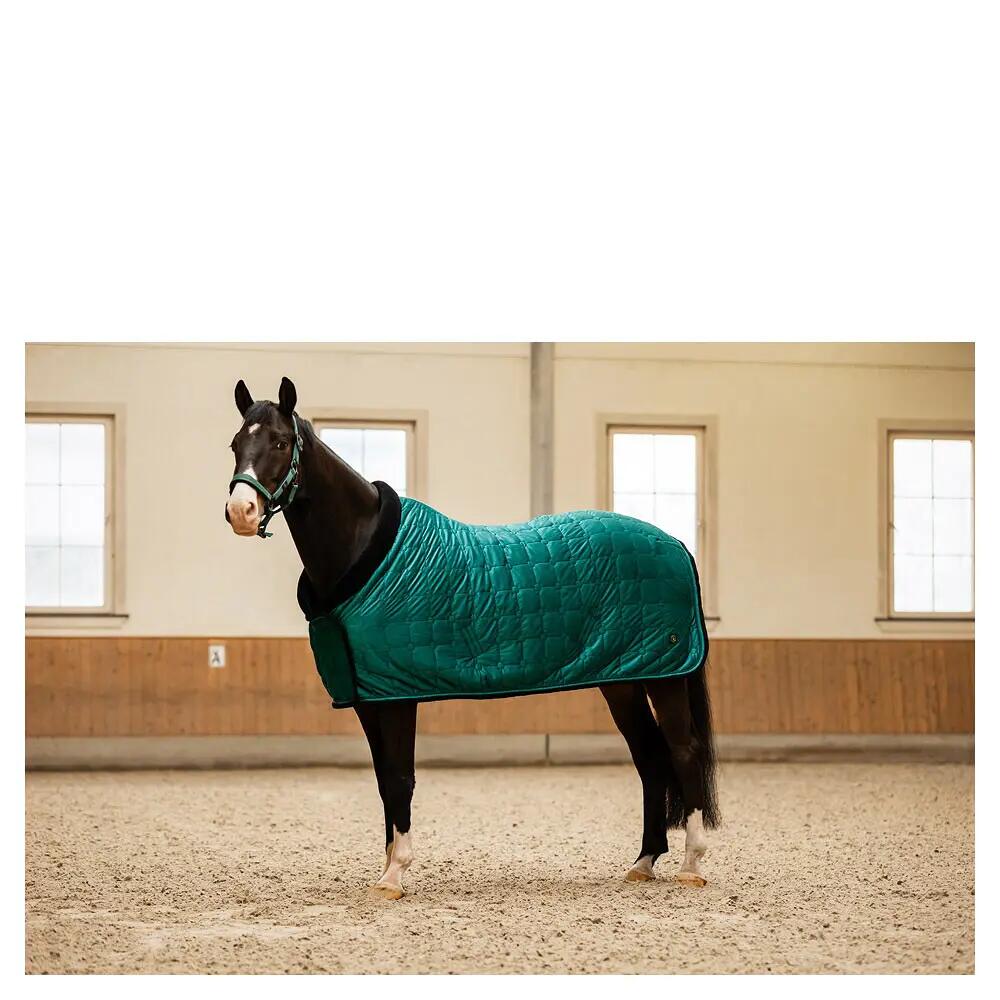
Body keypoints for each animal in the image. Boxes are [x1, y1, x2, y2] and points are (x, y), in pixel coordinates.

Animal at [225, 376, 720, 900]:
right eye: (235, 444)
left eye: (281, 442)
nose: (241, 511)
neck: (363, 551)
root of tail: (676, 544)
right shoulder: (369, 696)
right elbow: (382, 780)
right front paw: (387, 867)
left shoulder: (397, 695)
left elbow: (399, 777)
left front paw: (396, 873)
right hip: (623, 679)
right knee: (649, 758)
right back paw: (644, 862)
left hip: (664, 675)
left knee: (683, 751)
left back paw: (691, 864)